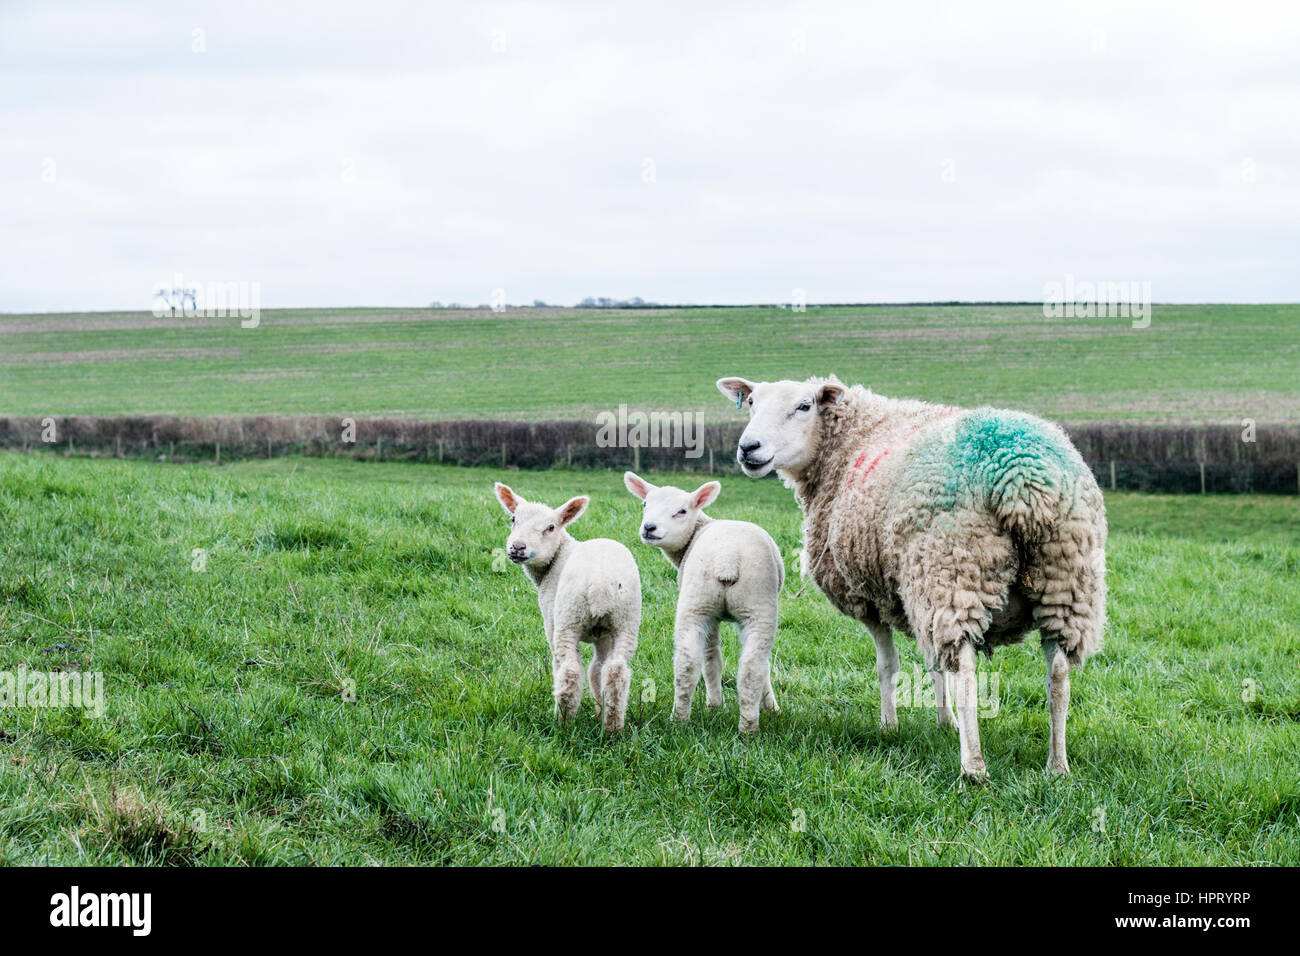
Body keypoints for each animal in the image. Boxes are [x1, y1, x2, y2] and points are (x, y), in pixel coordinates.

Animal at [491, 481, 639, 738]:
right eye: (513, 519)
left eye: (551, 527)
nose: (517, 547)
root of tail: (601, 583)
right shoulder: (604, 635)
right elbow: (596, 670)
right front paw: (599, 713)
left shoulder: (551, 622)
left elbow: (566, 668)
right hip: (626, 622)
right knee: (615, 672)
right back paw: (612, 729)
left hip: (568, 618)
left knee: (570, 671)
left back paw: (562, 724)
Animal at [621, 470, 780, 733]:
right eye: (645, 504)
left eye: (682, 511)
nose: (649, 527)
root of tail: (728, 557)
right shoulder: (714, 616)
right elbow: (713, 657)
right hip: (742, 606)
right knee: (746, 666)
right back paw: (740, 724)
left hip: (709, 603)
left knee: (692, 663)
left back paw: (684, 721)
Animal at [717, 374, 1102, 780]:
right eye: (752, 403)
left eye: (804, 406)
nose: (748, 448)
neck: (852, 440)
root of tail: (1021, 474)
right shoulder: (915, 599)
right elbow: (934, 666)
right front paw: (945, 721)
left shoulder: (870, 595)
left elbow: (887, 665)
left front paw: (889, 726)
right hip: (1065, 584)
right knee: (1058, 676)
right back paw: (1057, 765)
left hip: (953, 571)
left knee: (967, 675)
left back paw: (974, 768)